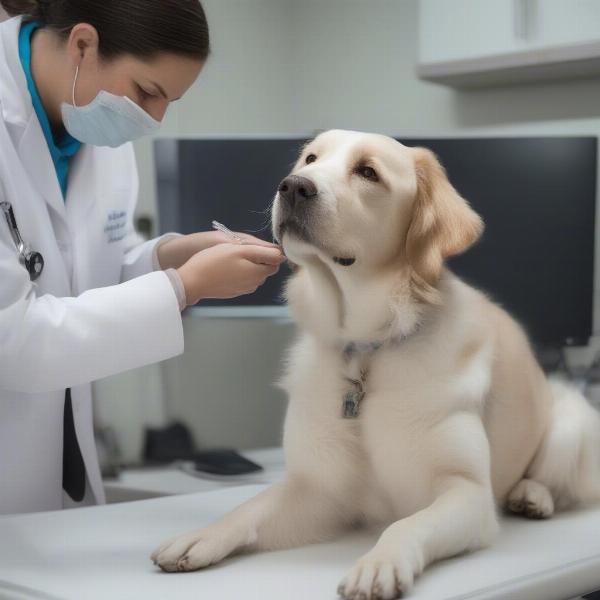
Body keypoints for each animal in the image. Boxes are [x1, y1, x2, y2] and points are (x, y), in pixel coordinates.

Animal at [151, 129, 600, 596]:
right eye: (310, 159)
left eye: (367, 172)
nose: (293, 186)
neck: (366, 345)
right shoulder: (318, 490)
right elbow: (250, 508)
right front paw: (201, 537)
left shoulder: (467, 493)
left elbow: (406, 525)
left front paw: (378, 564)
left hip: (572, 420)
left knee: (561, 481)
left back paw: (533, 496)